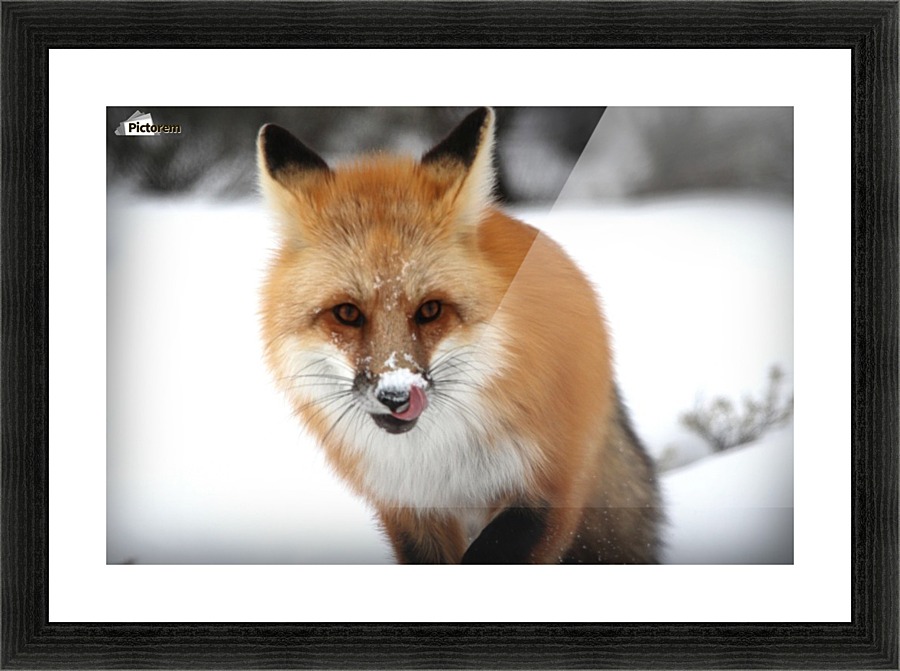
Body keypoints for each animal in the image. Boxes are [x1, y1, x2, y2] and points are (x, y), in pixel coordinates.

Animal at [257, 108, 661, 564]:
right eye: (347, 313)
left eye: (430, 310)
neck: (441, 461)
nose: (396, 395)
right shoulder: (408, 506)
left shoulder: (545, 486)